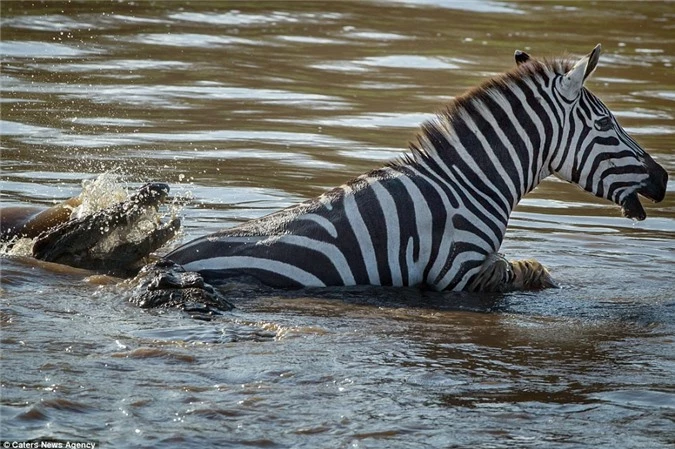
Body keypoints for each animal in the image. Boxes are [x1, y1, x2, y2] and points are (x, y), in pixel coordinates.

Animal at [162, 43, 664, 292]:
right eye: (606, 124)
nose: (662, 178)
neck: (470, 184)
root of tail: (163, 260)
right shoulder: (458, 269)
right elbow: (519, 270)